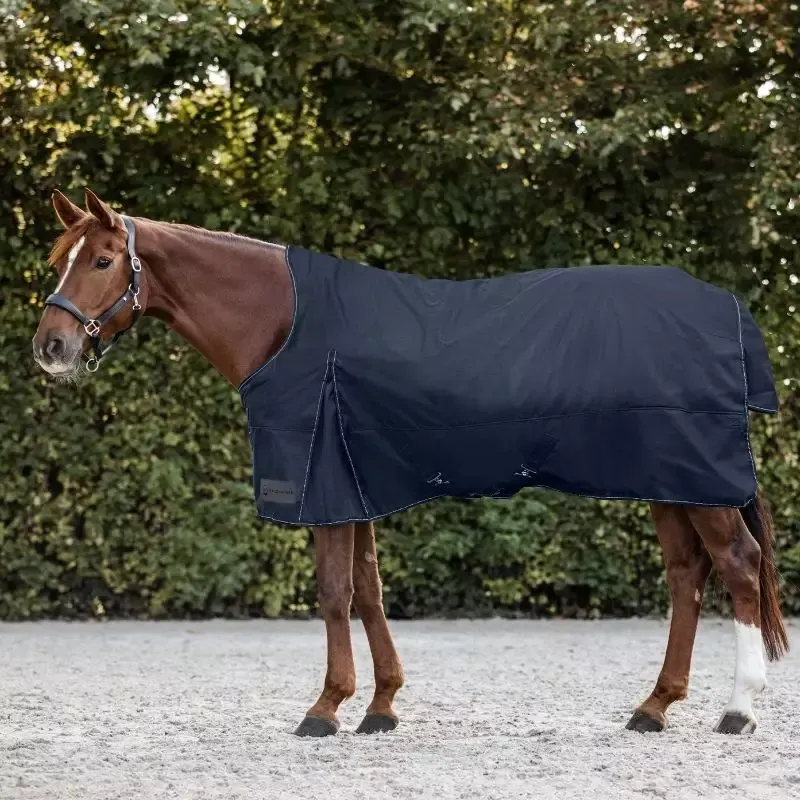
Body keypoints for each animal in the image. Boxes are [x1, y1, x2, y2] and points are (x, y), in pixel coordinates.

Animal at [32, 189, 789, 737]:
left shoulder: (325, 486)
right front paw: (382, 705)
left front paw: (325, 708)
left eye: (102, 261)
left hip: (699, 481)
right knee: (688, 576)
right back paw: (653, 707)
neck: (285, 323)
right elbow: (368, 591)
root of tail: (726, 308)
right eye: (57, 260)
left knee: (739, 566)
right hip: (672, 481)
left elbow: (334, 593)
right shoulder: (353, 484)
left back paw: (739, 711)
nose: (51, 347)